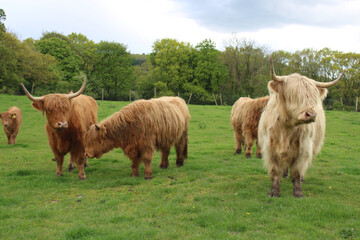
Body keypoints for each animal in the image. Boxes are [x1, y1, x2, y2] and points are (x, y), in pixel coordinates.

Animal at [258, 57, 344, 198]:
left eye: (313, 97)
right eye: (294, 95)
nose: (311, 114)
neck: (286, 129)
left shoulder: (304, 148)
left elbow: (297, 171)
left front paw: (298, 192)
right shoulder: (270, 148)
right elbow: (275, 171)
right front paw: (274, 191)